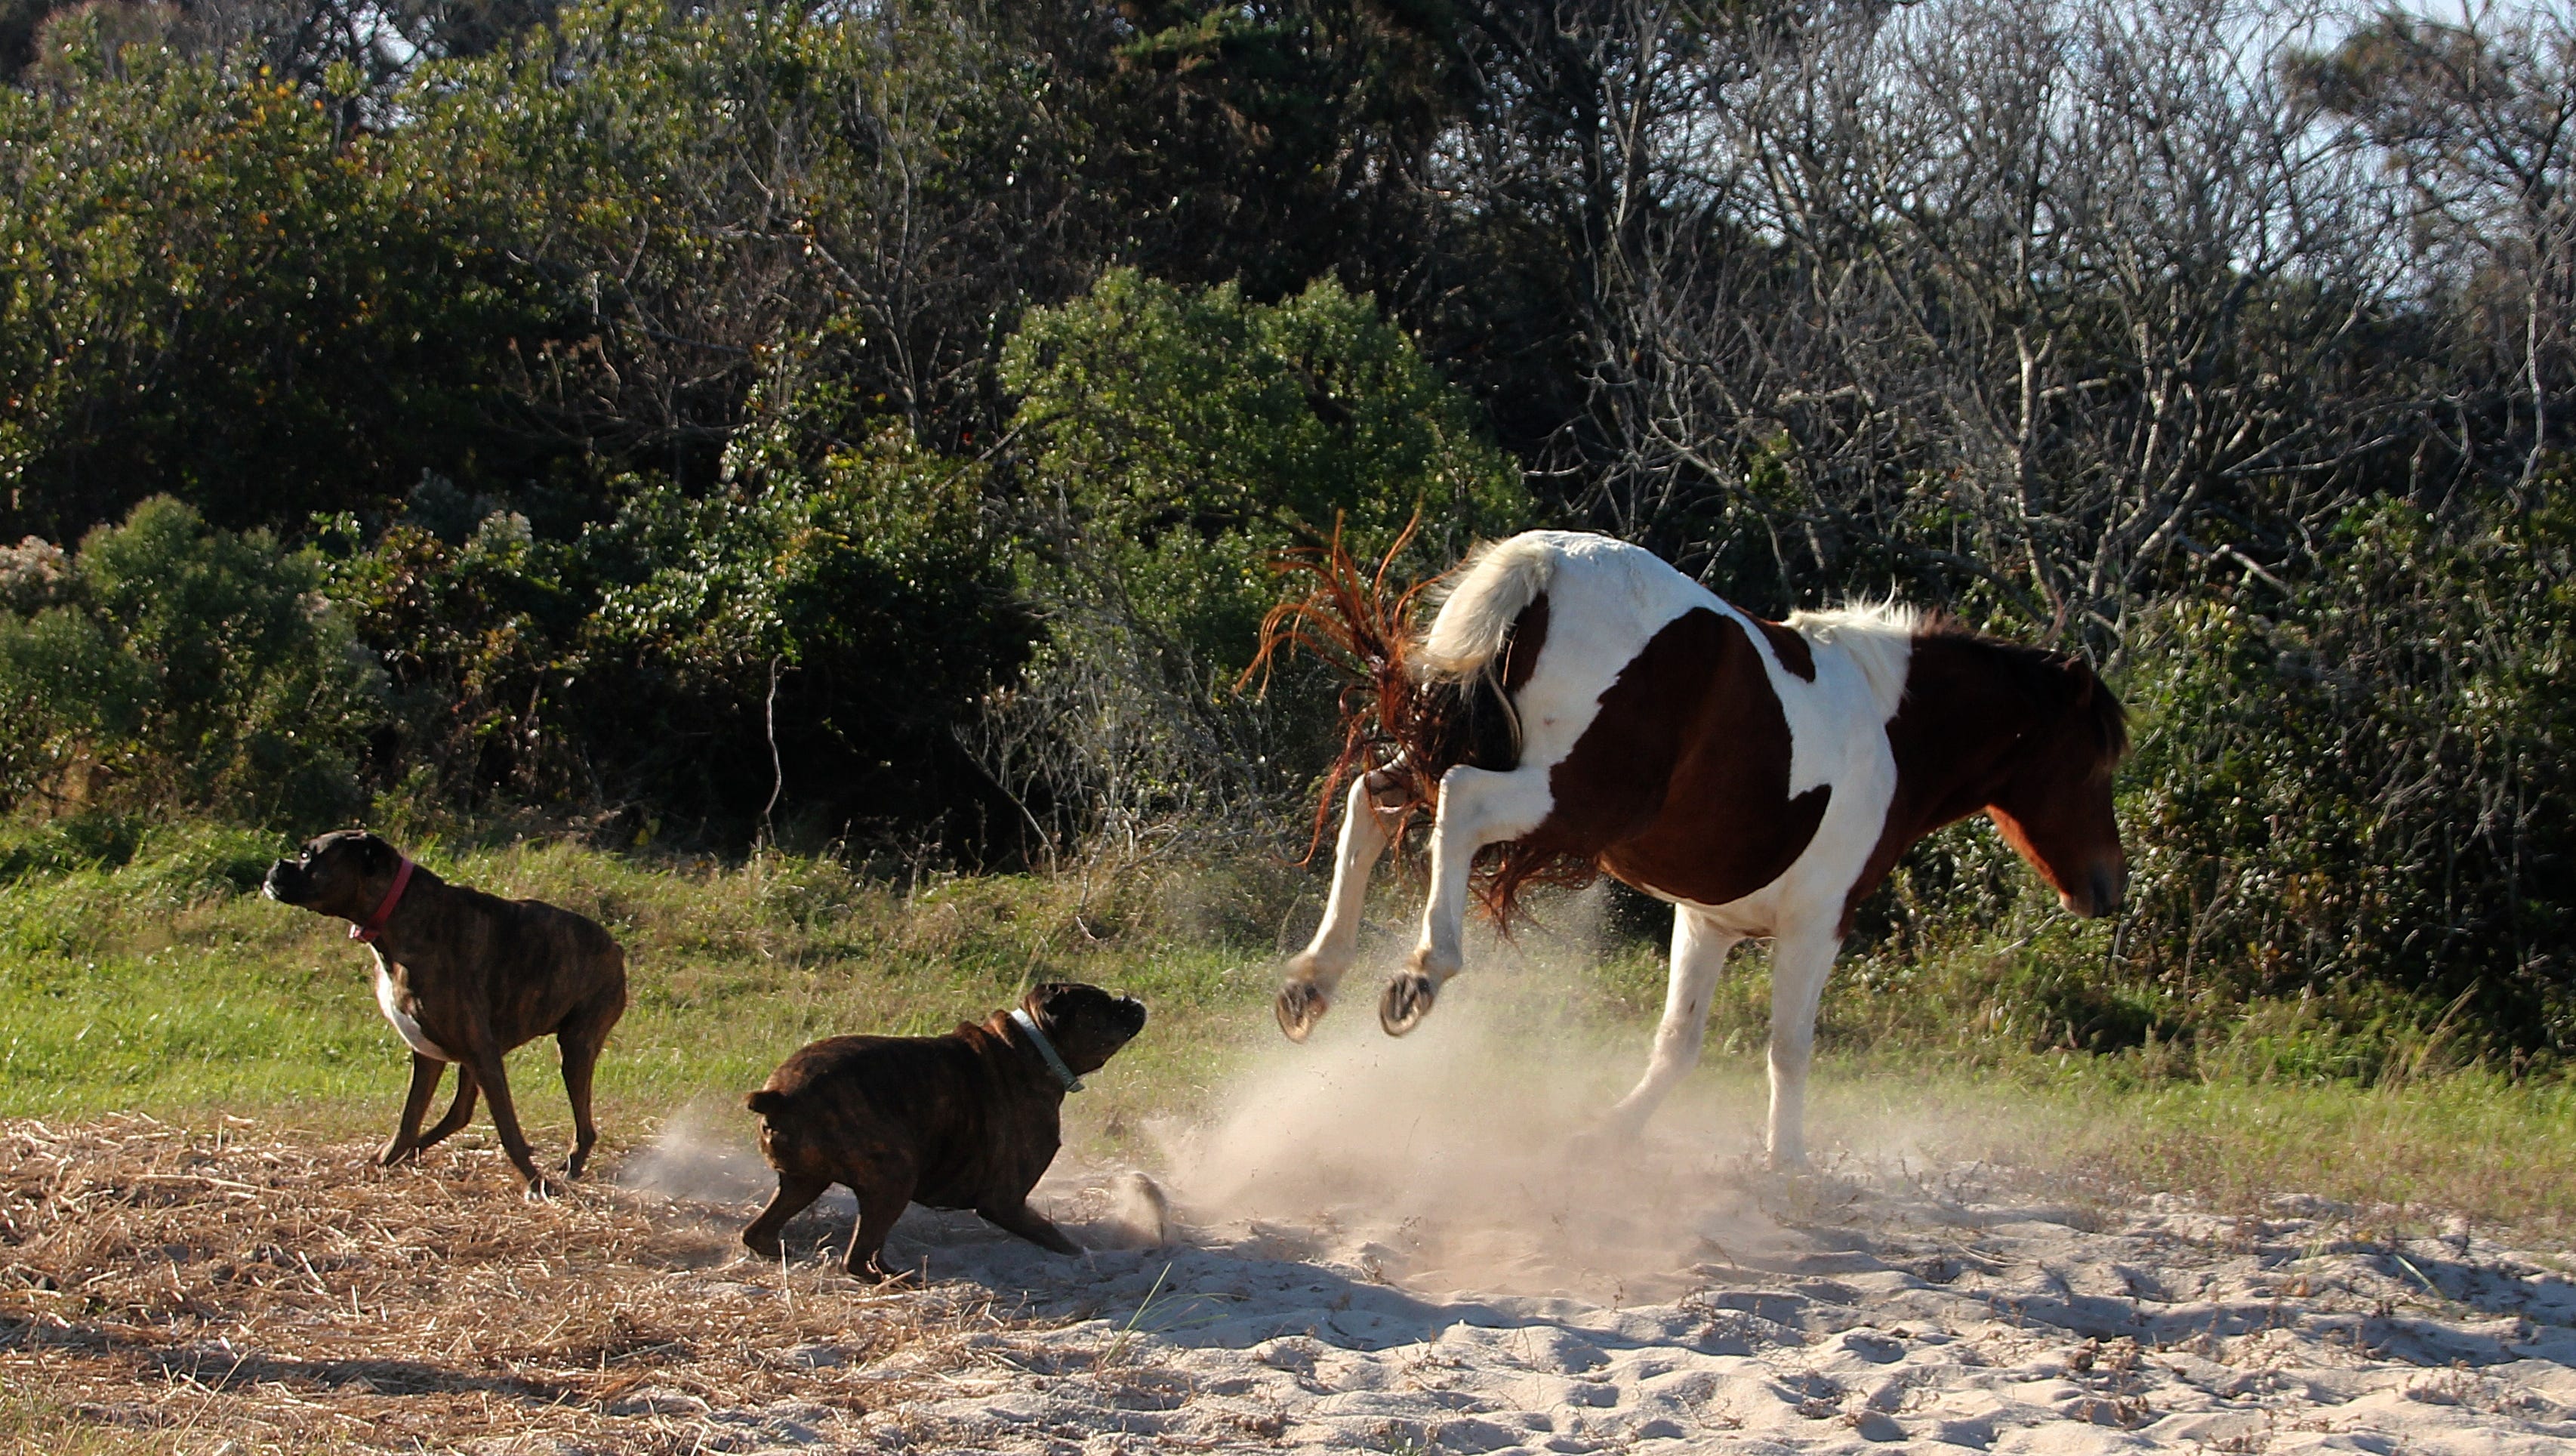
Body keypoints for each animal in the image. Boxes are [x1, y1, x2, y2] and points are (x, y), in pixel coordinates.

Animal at [263, 829, 628, 1190]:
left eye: (308, 855)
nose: (276, 865)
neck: (397, 915)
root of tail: (615, 947)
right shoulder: (430, 1056)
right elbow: (409, 1120)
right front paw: (384, 1161)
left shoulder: (482, 1055)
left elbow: (508, 1130)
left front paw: (536, 1182)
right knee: (459, 1113)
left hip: (574, 1049)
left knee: (583, 1126)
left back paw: (571, 1167)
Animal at [747, 984, 1148, 1278]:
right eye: (1104, 1005)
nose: (1129, 998)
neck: (1034, 1046)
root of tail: (779, 1096)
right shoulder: (1005, 1202)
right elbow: (1058, 1240)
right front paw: (1086, 1257)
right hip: (893, 1177)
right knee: (858, 1258)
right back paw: (898, 1279)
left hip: (804, 1182)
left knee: (761, 1233)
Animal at [1272, 528, 2133, 1164]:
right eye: (2094, 764)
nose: (2107, 888)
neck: (1891, 726)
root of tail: (1545, 561)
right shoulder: (1817, 924)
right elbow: (1788, 1047)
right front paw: (1787, 1168)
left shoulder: (1708, 919)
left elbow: (1677, 1043)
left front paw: (1606, 1135)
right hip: (1567, 802)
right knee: (1459, 803)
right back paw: (1420, 973)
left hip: (1474, 759)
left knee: (1370, 803)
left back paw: (1313, 981)